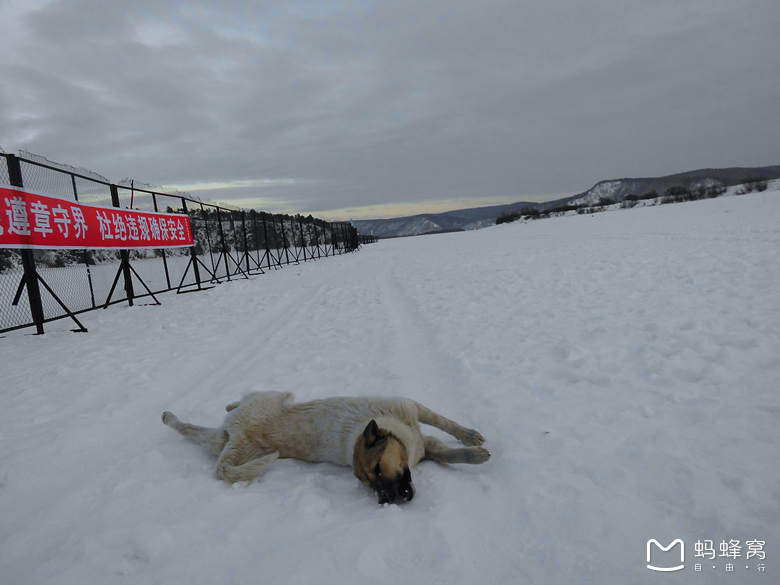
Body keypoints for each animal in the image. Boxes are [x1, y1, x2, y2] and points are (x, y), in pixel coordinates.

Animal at [161, 390, 490, 504]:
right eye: (367, 481)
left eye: (378, 469)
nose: (384, 502)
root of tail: (238, 430)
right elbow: (445, 435)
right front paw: (474, 449)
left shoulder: (416, 417)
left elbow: (446, 427)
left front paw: (470, 441)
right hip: (271, 400)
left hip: (222, 441)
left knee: (191, 427)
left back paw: (171, 416)